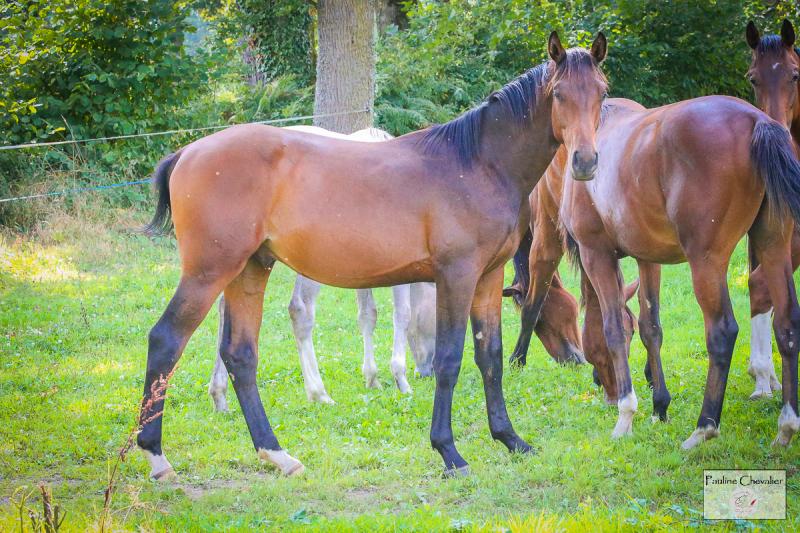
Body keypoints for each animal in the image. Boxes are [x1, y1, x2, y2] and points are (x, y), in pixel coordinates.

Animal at [136, 32, 610, 479]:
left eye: (602, 92)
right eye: (558, 94)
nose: (586, 161)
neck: (476, 163)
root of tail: (188, 152)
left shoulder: (488, 278)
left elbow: (489, 356)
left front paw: (510, 439)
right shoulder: (455, 277)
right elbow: (449, 359)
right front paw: (449, 452)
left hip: (249, 270)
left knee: (239, 354)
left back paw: (278, 454)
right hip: (209, 272)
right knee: (165, 340)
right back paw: (157, 457)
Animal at [545, 93, 800, 449]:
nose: (606, 390)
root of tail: (757, 119)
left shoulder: (596, 254)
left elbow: (614, 329)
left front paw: (626, 416)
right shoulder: (647, 258)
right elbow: (650, 327)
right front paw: (659, 407)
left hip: (706, 263)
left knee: (722, 332)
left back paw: (705, 426)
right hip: (774, 248)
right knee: (787, 325)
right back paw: (786, 427)